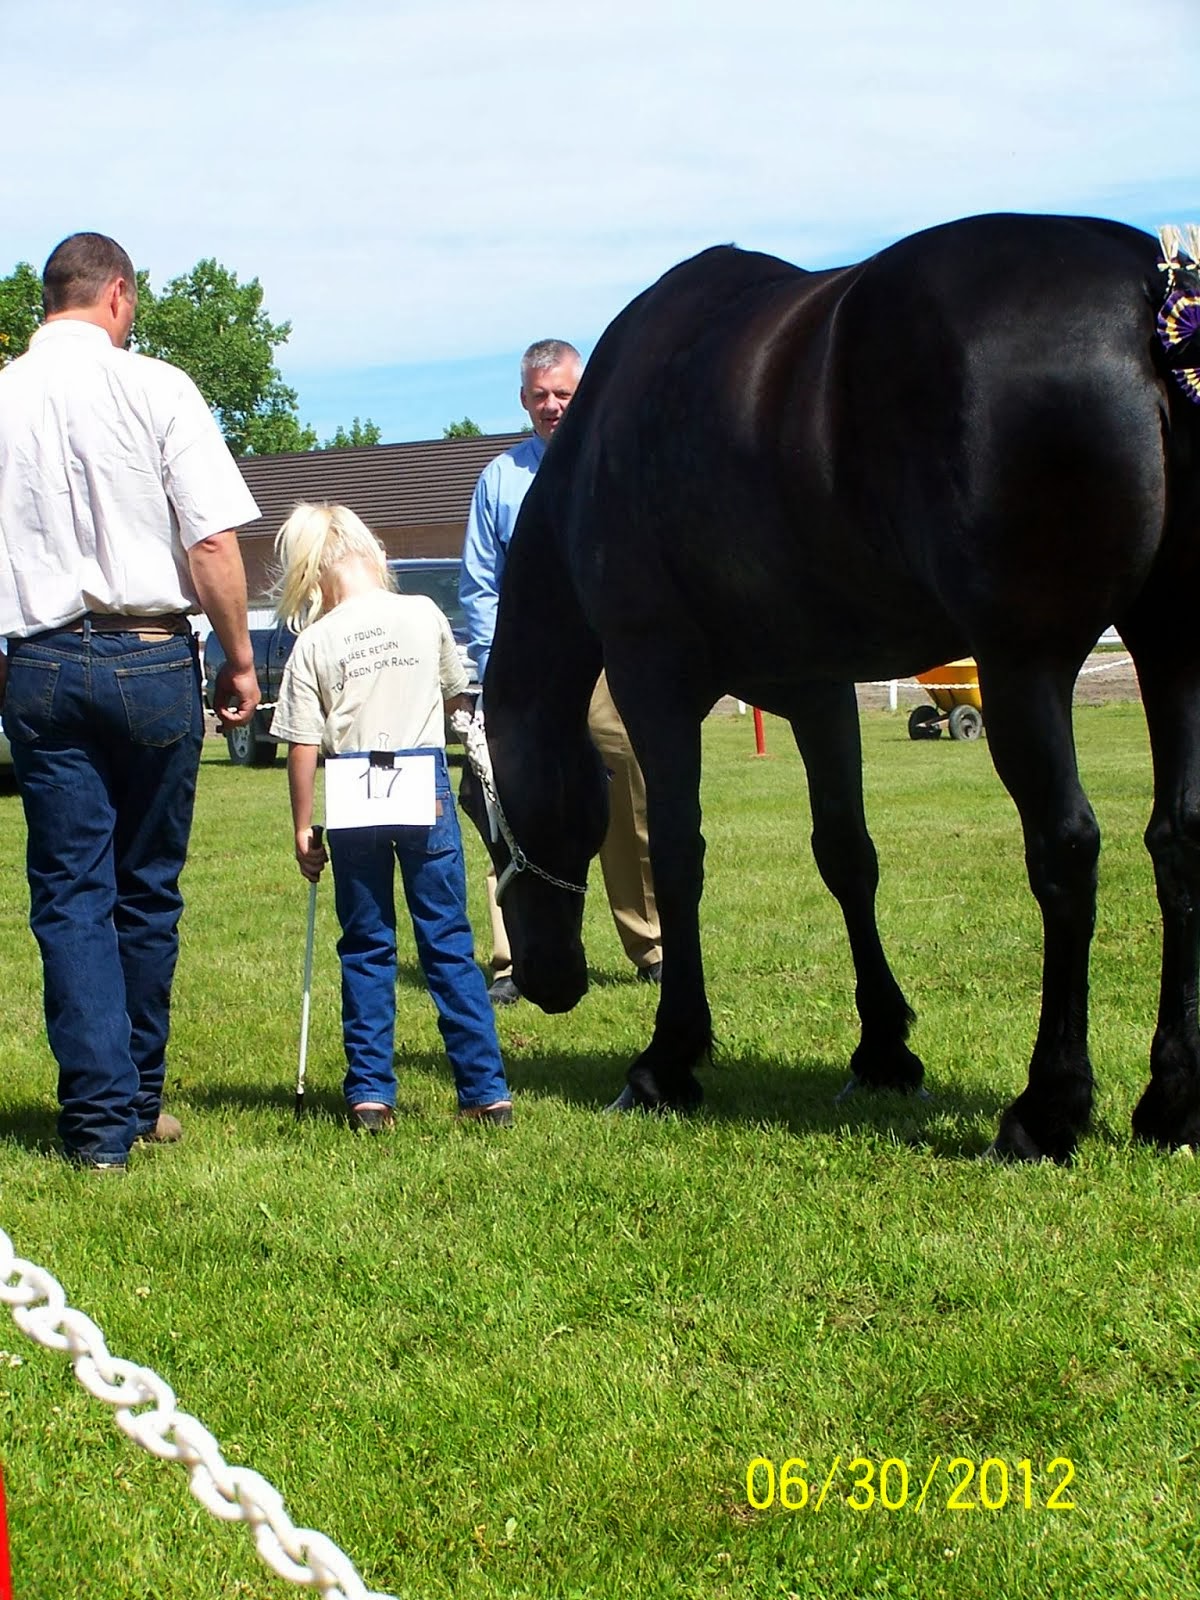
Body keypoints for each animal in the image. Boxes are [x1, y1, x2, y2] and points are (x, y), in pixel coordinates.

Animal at [480, 212, 1200, 1164]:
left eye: (488, 823)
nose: (545, 981)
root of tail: (1152, 286)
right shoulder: (819, 692)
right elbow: (847, 855)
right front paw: (884, 1050)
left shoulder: (650, 679)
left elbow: (678, 856)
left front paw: (667, 1060)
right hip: (1173, 645)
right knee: (1178, 837)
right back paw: (1173, 1101)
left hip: (1024, 667)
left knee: (1066, 849)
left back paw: (1047, 1108)